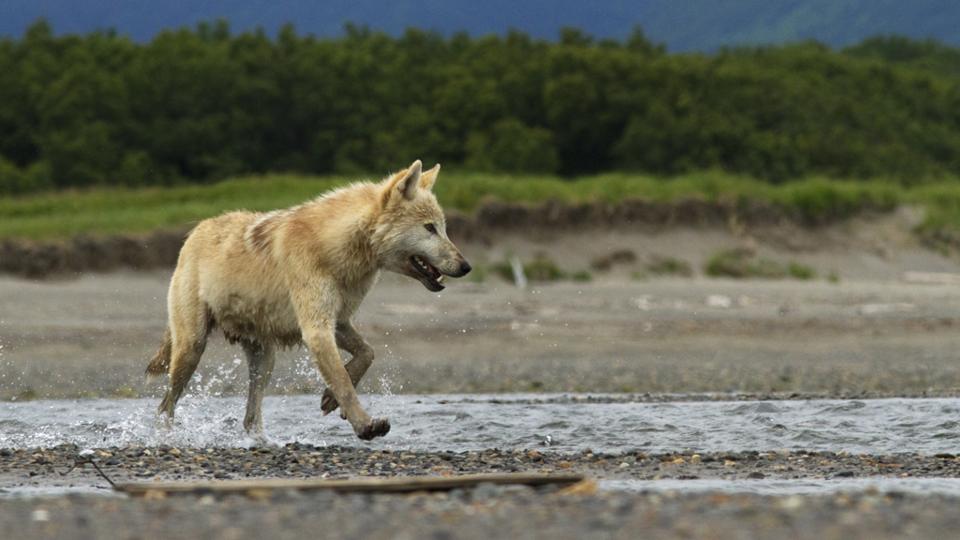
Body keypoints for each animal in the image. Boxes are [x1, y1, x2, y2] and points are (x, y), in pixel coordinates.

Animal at [144, 160, 470, 438]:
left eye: (443, 227)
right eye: (430, 228)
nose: (466, 267)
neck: (337, 250)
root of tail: (192, 234)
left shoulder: (337, 321)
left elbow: (367, 354)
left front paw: (330, 400)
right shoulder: (316, 329)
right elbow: (343, 381)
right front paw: (365, 425)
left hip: (264, 361)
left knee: (250, 419)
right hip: (192, 348)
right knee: (164, 407)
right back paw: (166, 438)